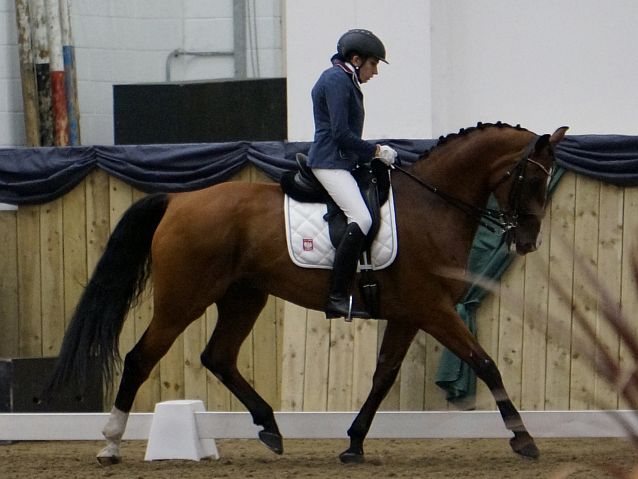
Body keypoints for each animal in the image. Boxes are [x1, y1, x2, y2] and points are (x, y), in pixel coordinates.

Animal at [50, 122, 568, 466]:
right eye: (531, 178)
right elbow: (485, 363)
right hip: (183, 300)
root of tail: (178, 199)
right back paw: (110, 443)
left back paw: (270, 427)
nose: (527, 242)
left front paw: (354, 443)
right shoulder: (435, 309)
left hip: (244, 297)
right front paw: (523, 439)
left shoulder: (408, 314)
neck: (432, 204)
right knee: (141, 357)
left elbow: (383, 376)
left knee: (218, 356)